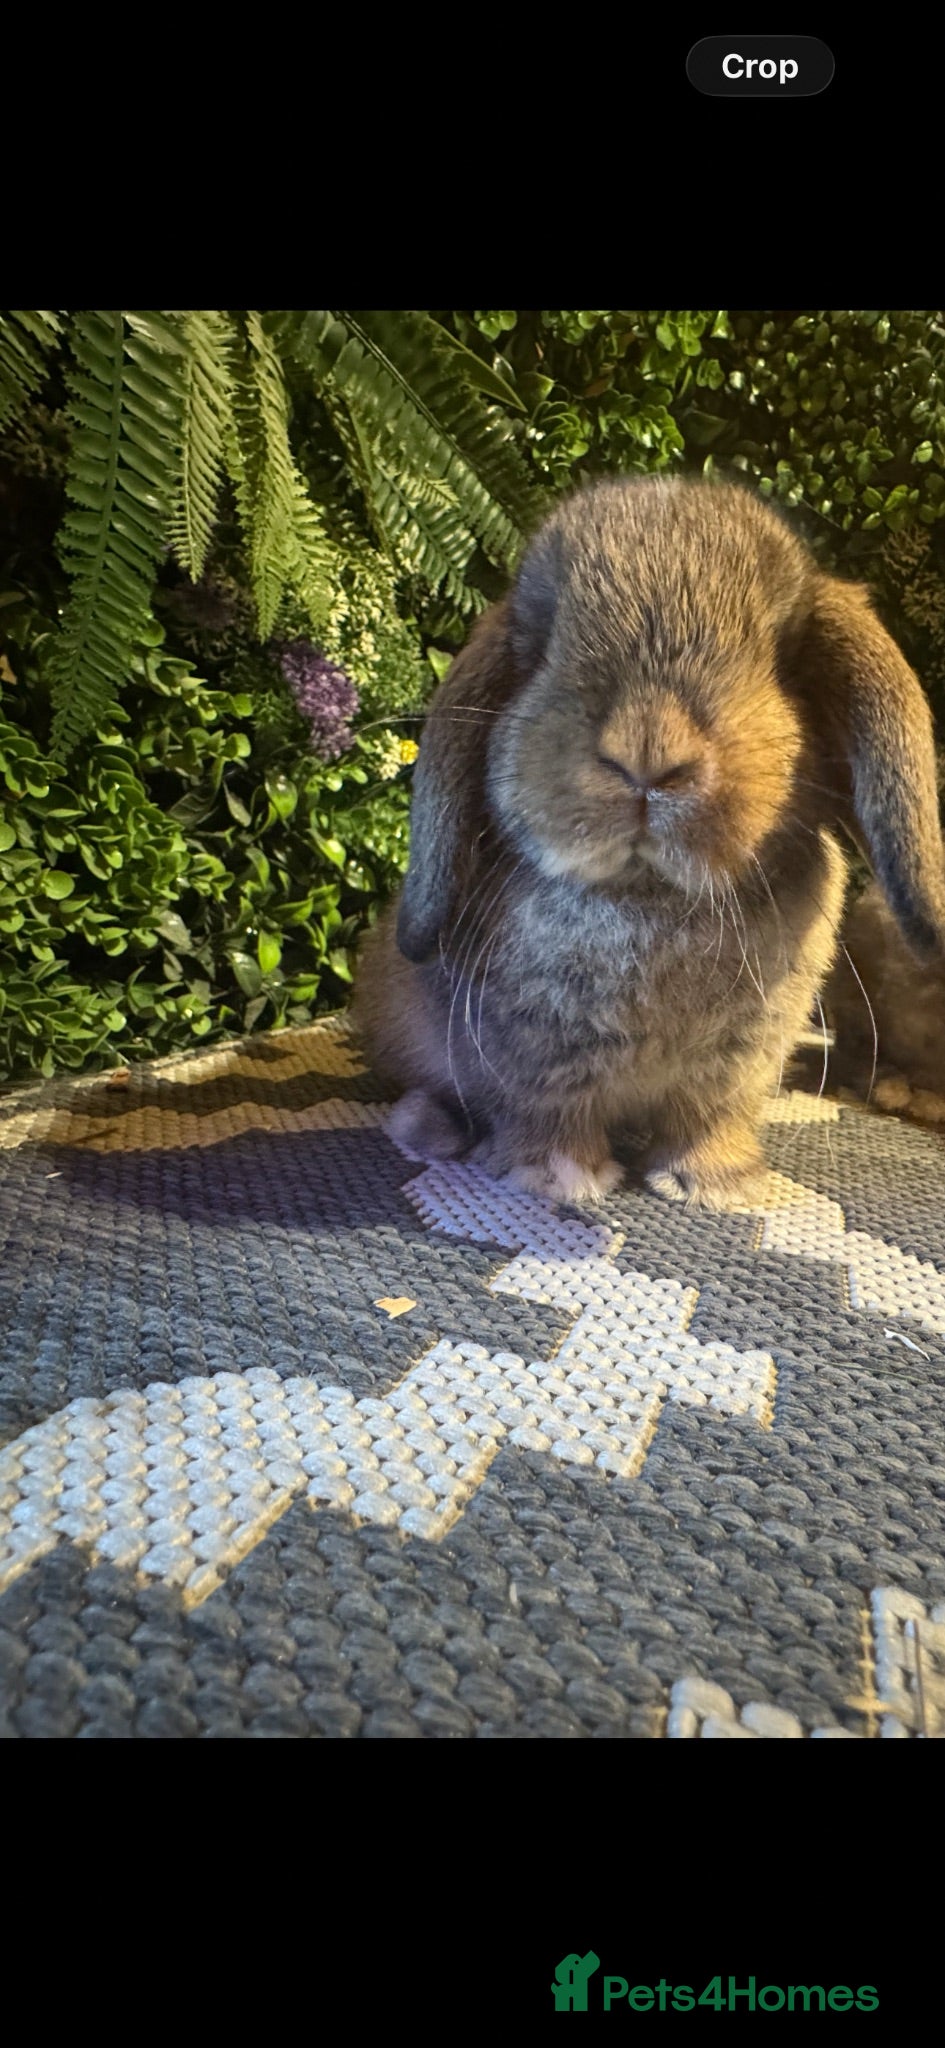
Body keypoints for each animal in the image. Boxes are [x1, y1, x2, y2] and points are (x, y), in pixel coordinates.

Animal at [352, 473, 945, 1208]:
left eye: (781, 658)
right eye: (540, 648)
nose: (646, 752)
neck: (651, 897)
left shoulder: (733, 1067)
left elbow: (706, 1120)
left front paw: (716, 1185)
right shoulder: (533, 1061)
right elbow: (546, 1117)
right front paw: (562, 1181)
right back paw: (428, 1127)